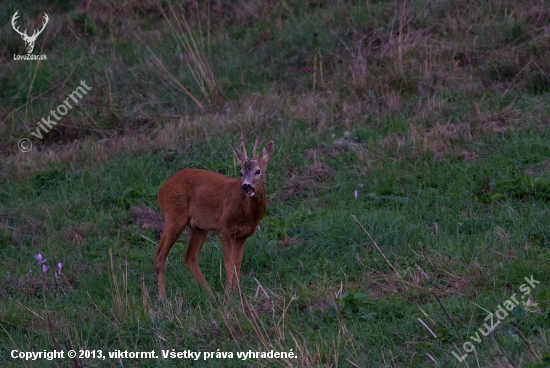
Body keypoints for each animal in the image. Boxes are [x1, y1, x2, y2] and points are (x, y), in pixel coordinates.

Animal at [155, 135, 276, 300]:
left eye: (258, 171)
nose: (246, 186)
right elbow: (228, 263)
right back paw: (162, 297)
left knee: (190, 257)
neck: (246, 212)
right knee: (161, 253)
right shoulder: (226, 228)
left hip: (198, 227)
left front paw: (237, 293)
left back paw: (210, 294)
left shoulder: (242, 235)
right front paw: (229, 295)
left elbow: (237, 264)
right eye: (241, 172)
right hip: (174, 216)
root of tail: (161, 191)